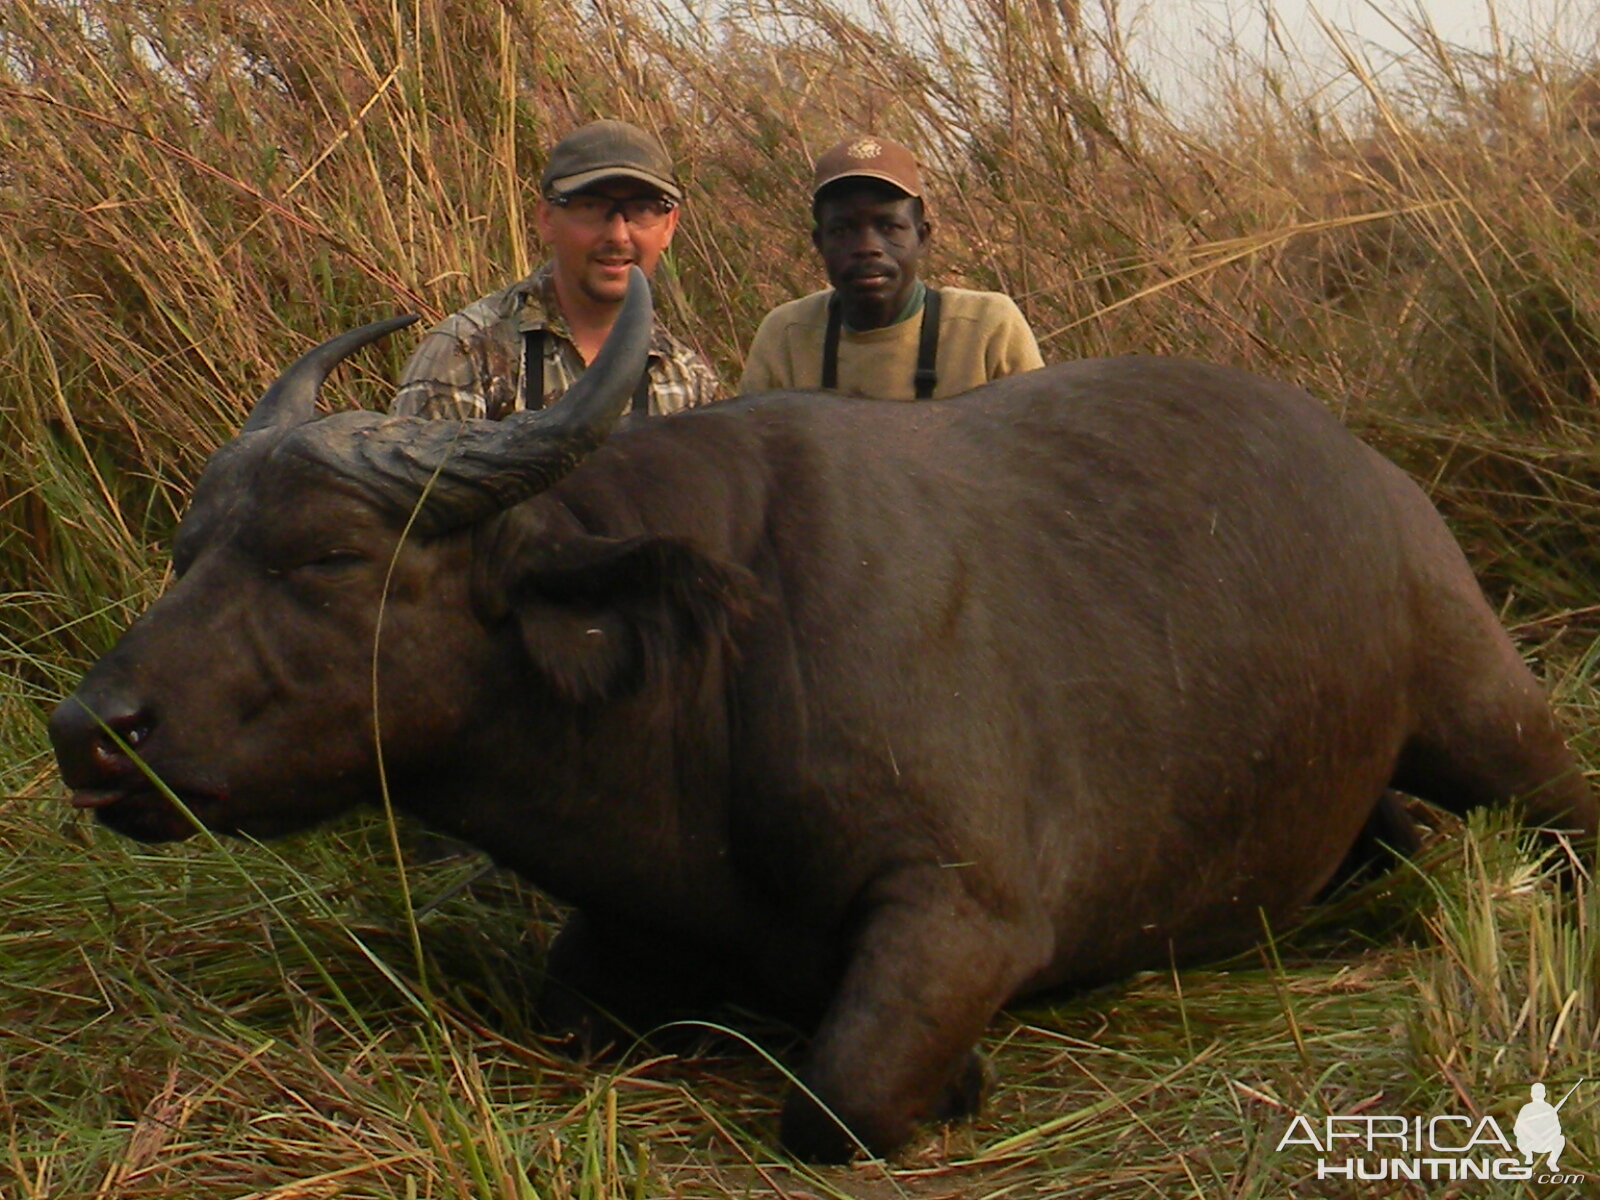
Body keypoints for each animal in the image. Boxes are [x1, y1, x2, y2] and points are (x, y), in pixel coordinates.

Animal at [46, 272, 1587, 1164]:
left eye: (324, 557)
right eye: (189, 550)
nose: (90, 731)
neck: (702, 677)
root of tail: (1380, 485)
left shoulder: (964, 914)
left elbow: (834, 1097)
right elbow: (569, 1005)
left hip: (1487, 711)